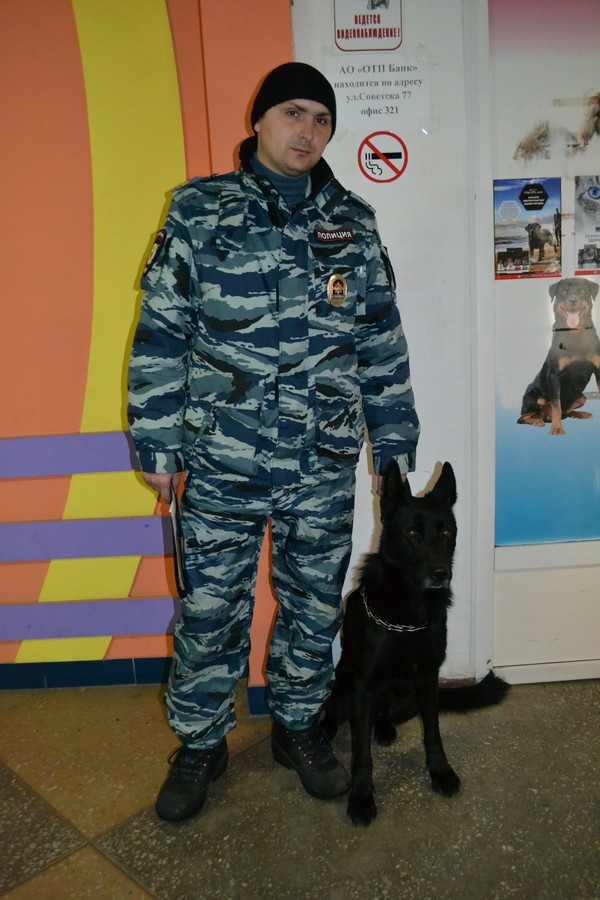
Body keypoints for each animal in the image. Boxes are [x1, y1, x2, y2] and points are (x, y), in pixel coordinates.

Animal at [321, 461, 510, 827]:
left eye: (446, 533)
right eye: (411, 533)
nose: (440, 574)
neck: (408, 614)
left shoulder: (428, 679)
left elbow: (432, 733)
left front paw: (440, 772)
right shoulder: (364, 685)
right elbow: (361, 753)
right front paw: (361, 797)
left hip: (407, 701)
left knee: (383, 718)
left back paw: (383, 728)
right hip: (345, 686)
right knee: (337, 712)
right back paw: (325, 727)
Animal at [517, 277, 600, 435]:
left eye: (582, 291)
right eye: (563, 292)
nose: (573, 300)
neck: (575, 335)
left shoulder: (598, 370)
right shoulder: (553, 375)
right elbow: (556, 405)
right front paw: (556, 428)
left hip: (582, 397)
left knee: (566, 412)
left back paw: (579, 413)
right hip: (535, 394)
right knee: (522, 417)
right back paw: (537, 421)